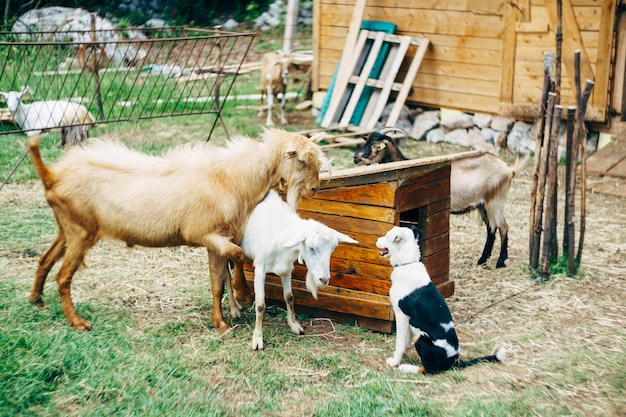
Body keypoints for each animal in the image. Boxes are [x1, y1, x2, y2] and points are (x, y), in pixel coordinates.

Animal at [238, 190, 356, 350]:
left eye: (333, 248)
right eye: (311, 247)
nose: (324, 280)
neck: (280, 230)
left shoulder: (286, 268)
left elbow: (289, 297)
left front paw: (294, 325)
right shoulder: (260, 267)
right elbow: (261, 305)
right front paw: (257, 339)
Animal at [354, 128, 524, 268]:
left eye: (374, 145)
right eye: (366, 141)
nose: (356, 157)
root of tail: (509, 167)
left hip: (495, 200)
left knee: (502, 227)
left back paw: (500, 261)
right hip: (483, 204)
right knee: (491, 228)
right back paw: (483, 259)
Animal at [376, 224, 502, 374]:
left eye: (387, 235)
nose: (376, 240)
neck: (407, 263)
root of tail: (454, 361)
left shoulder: (401, 315)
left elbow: (400, 343)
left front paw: (395, 361)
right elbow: (406, 341)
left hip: (422, 338)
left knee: (427, 369)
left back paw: (406, 367)